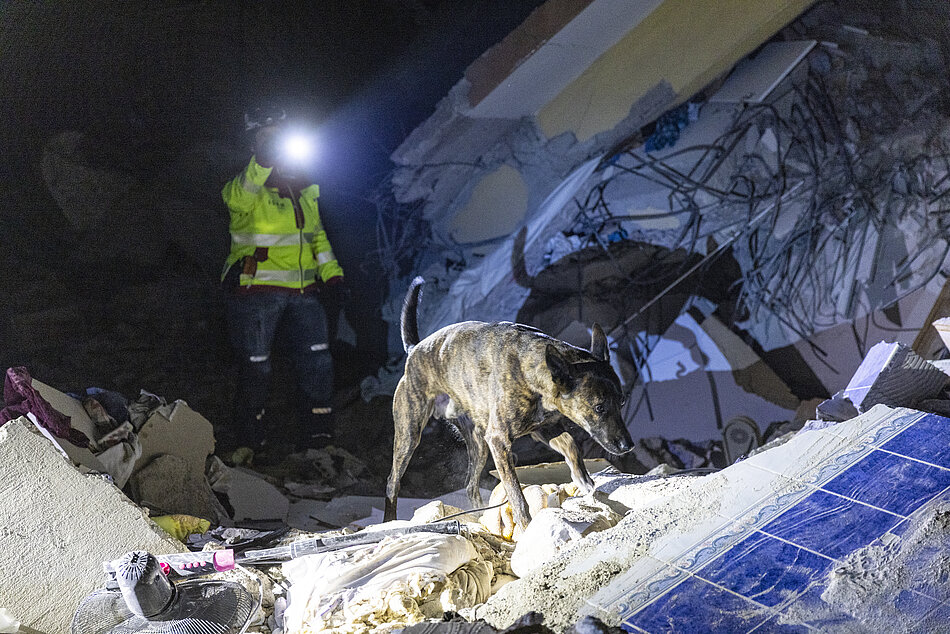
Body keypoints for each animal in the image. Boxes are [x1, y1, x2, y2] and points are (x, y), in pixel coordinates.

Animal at [384, 274, 636, 524]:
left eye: (622, 402)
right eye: (599, 407)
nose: (628, 446)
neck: (533, 370)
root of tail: (415, 349)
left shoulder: (545, 428)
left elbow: (571, 444)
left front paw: (583, 480)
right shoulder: (499, 442)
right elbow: (516, 494)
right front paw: (526, 526)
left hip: (478, 444)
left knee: (470, 486)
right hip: (410, 435)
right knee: (392, 482)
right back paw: (389, 520)